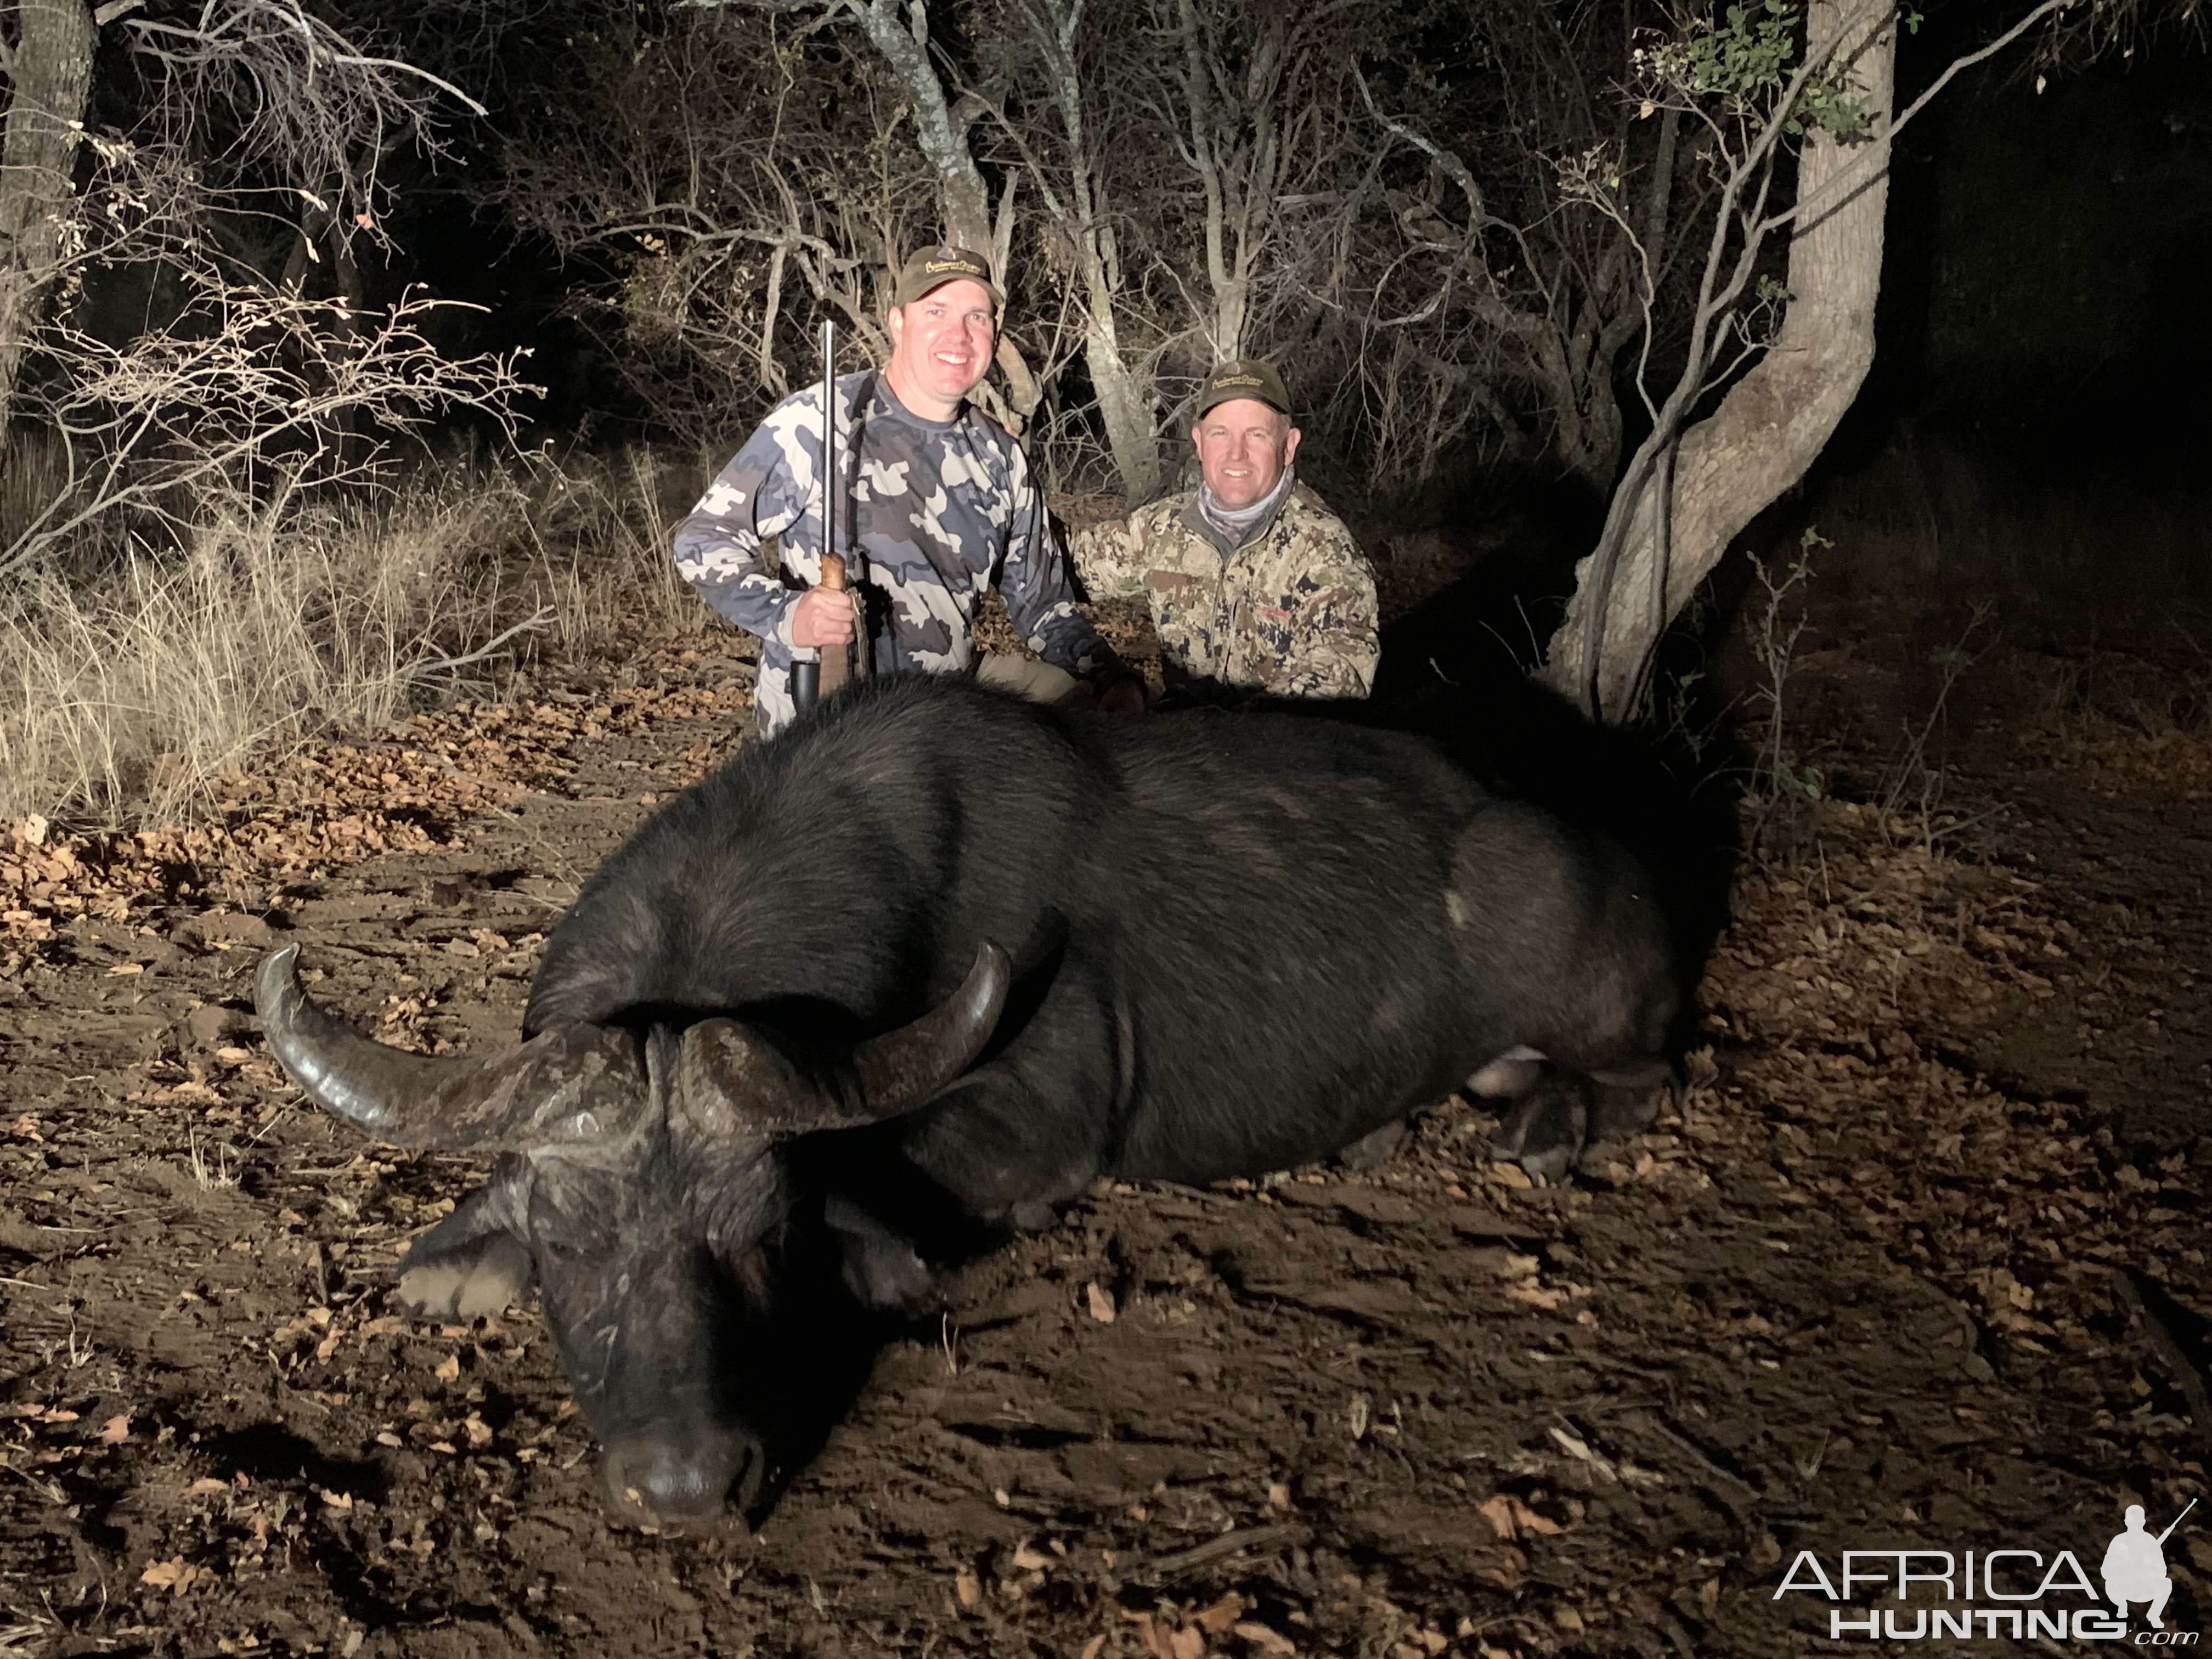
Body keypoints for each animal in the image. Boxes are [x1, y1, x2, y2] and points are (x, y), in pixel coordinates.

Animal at [254, 676, 1672, 1531]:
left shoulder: (1032, 1135)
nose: (689, 1489)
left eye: (766, 1239)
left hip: (1593, 988)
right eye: (565, 1251)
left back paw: (1545, 1131)